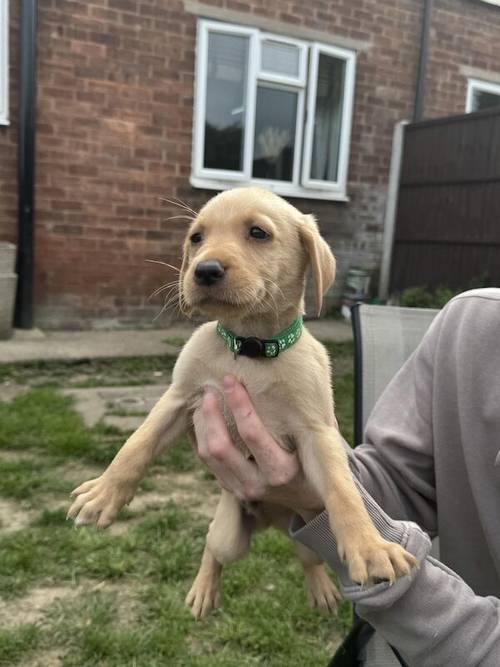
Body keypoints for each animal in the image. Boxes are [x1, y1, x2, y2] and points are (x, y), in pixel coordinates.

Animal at [68, 185, 416, 620]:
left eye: (257, 233)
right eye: (196, 238)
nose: (204, 270)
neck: (251, 349)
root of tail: (271, 521)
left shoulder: (317, 432)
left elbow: (343, 492)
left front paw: (369, 547)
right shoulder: (179, 398)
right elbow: (136, 445)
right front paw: (102, 494)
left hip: (304, 532)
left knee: (308, 557)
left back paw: (321, 590)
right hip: (228, 534)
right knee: (212, 548)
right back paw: (203, 590)